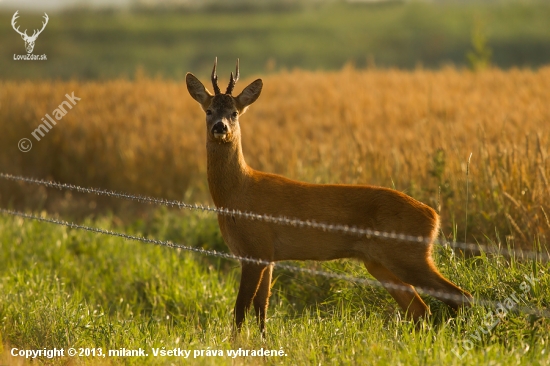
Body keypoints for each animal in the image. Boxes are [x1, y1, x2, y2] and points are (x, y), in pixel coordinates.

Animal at [187, 58, 474, 336]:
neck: (235, 196)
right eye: (208, 110)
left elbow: (240, 310)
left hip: (409, 254)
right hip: (379, 262)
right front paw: (262, 343)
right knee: (420, 308)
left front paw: (236, 345)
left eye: (234, 112)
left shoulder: (255, 250)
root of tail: (433, 215)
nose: (220, 127)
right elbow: (261, 309)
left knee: (459, 296)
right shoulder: (267, 256)